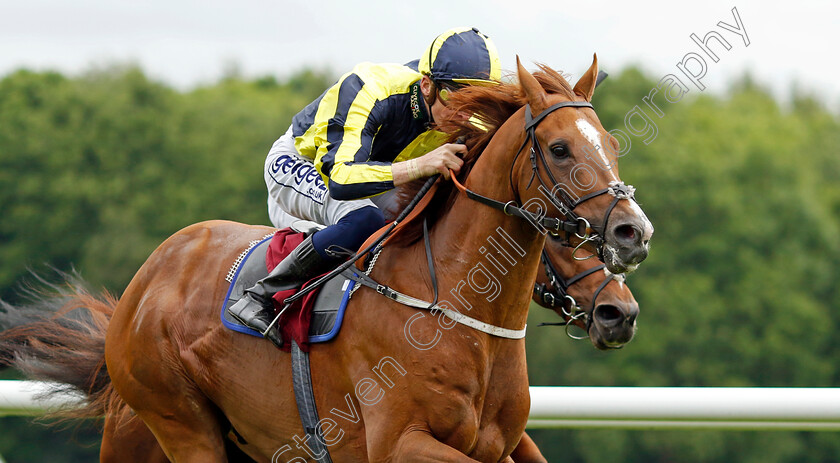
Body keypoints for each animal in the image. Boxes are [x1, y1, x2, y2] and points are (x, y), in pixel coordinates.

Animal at [0, 58, 648, 463]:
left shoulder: (502, 444)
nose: (634, 233)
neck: (457, 312)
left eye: (612, 146)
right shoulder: (400, 443)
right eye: (560, 148)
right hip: (178, 424)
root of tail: (144, 282)